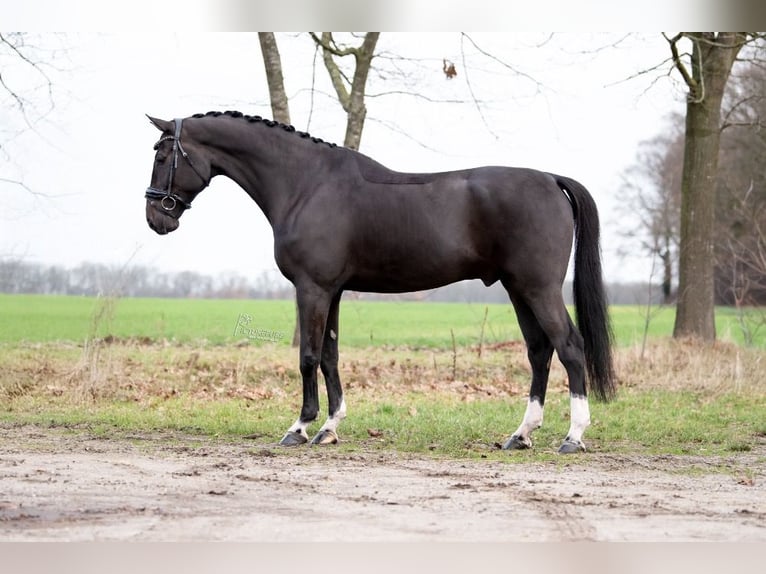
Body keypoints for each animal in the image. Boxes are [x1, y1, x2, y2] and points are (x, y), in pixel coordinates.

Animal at [144, 110, 616, 454]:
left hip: (539, 288)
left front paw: (300, 428)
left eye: (162, 156)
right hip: (517, 288)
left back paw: (573, 437)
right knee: (539, 351)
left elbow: (308, 357)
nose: (156, 218)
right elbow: (330, 356)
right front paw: (329, 429)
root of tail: (551, 179)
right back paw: (520, 435)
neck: (307, 184)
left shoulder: (312, 288)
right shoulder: (331, 291)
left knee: (569, 347)